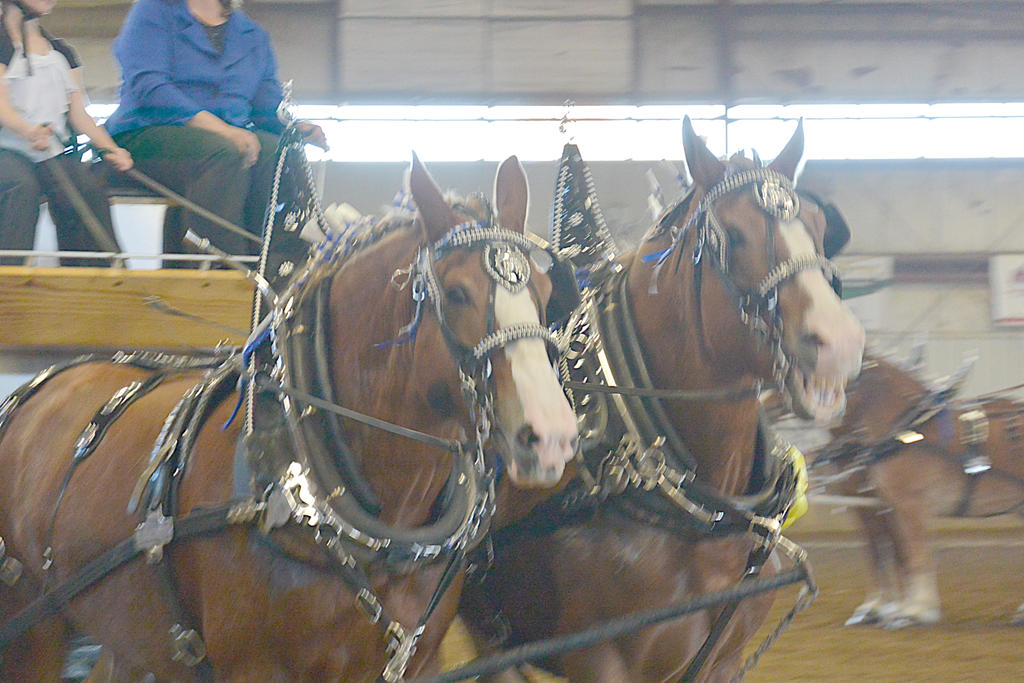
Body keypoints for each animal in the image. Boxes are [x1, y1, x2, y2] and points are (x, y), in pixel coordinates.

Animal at [0, 156, 577, 683]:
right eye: (456, 293)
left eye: (546, 296)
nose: (551, 436)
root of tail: (38, 387)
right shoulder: (255, 668)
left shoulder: (417, 662)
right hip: (31, 623)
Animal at [811, 358, 1024, 630]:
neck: (906, 430)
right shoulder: (885, 506)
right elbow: (896, 553)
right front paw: (897, 607)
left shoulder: (909, 505)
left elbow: (915, 555)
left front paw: (915, 610)